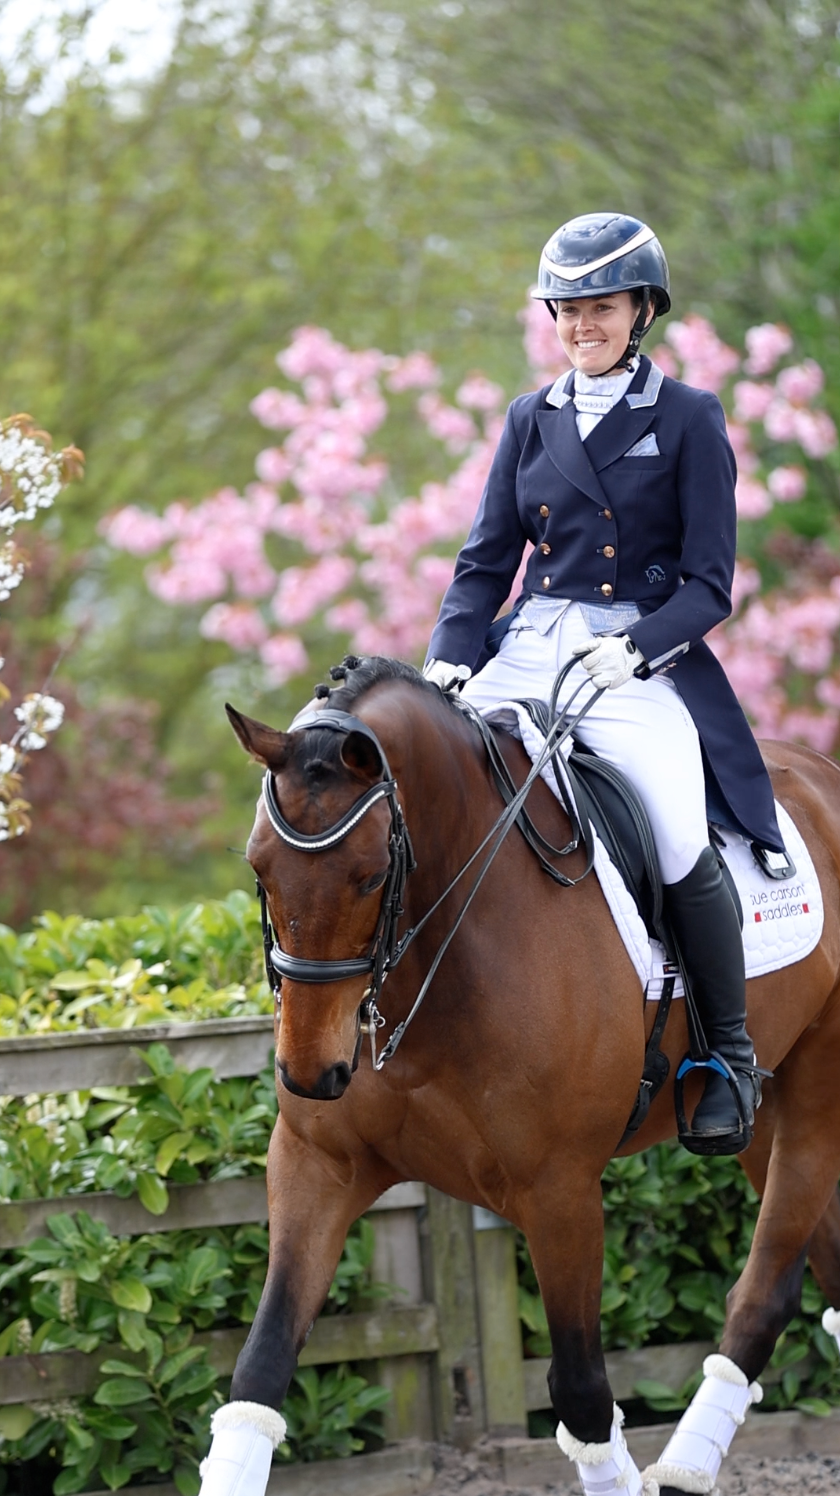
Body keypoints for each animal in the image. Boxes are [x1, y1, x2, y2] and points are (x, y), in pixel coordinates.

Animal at [201, 654, 840, 1496]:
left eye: (370, 877)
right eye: (259, 868)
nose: (311, 1073)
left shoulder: (557, 1190)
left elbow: (582, 1394)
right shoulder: (318, 1164)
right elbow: (261, 1367)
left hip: (817, 1097)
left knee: (767, 1288)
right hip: (764, 1121)